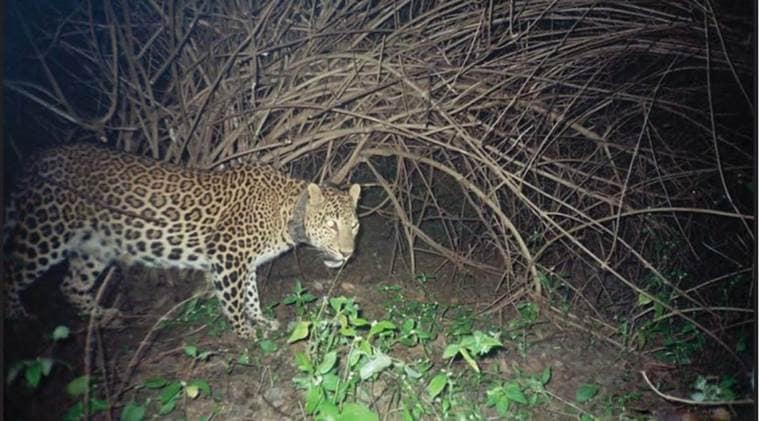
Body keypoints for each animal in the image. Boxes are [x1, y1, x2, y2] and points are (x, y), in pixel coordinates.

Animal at [3, 143, 361, 338]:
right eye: (331, 225)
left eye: (354, 226)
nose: (347, 254)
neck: (285, 212)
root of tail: (35, 159)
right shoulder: (226, 255)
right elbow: (233, 299)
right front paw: (245, 333)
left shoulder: (244, 262)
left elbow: (250, 293)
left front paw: (260, 320)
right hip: (46, 233)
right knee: (12, 272)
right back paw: (21, 321)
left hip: (94, 247)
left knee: (71, 286)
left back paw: (104, 317)